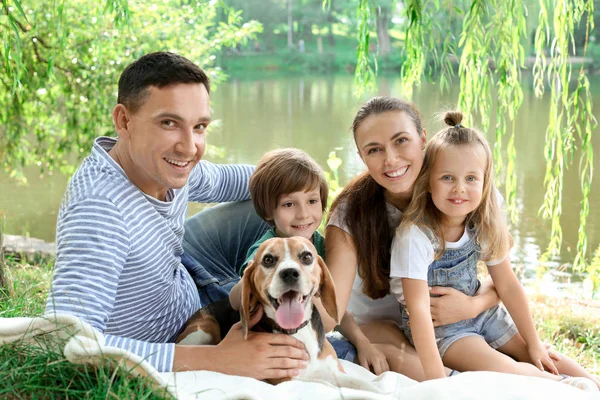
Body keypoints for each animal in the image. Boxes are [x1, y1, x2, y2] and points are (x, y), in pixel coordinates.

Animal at [176, 236, 342, 382]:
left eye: (307, 257)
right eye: (268, 259)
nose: (289, 273)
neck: (297, 330)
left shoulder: (334, 370)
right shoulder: (287, 379)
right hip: (204, 329)